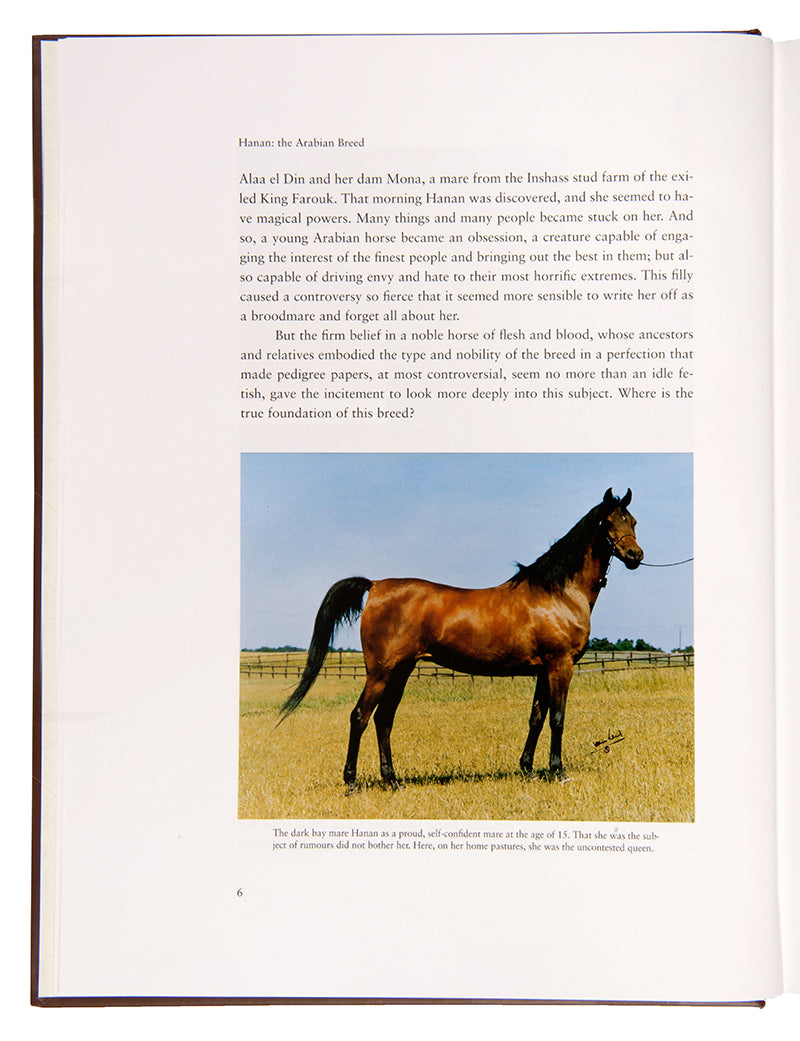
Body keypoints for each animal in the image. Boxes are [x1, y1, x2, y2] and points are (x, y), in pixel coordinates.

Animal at [278, 488, 643, 789]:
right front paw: (558, 771)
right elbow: (557, 719)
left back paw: (392, 780)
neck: (556, 593)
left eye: (634, 520)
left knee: (383, 719)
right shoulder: (560, 666)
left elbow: (536, 719)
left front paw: (528, 769)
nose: (635, 555)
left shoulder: (544, 670)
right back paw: (352, 782)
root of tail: (376, 584)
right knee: (360, 717)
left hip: (401, 670)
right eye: (607, 522)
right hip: (381, 672)